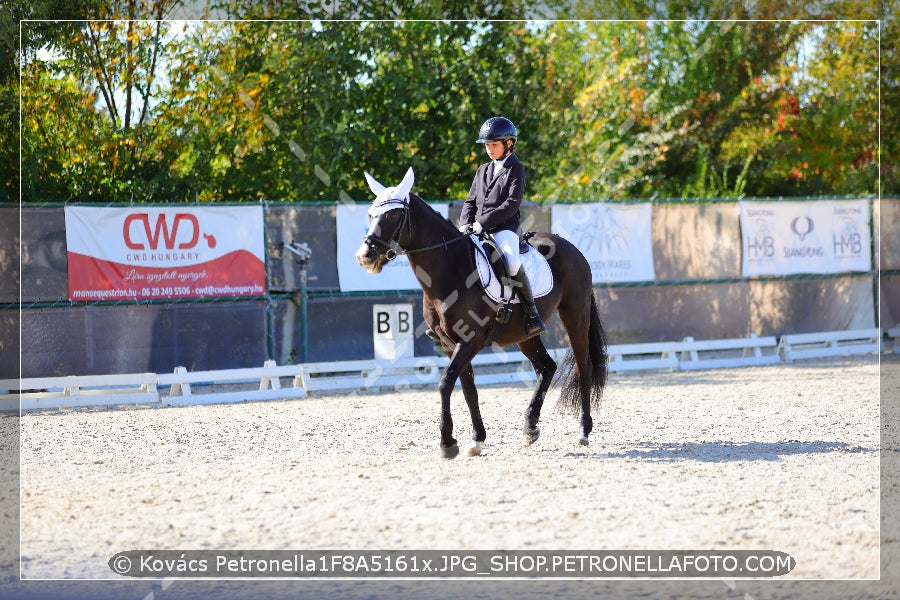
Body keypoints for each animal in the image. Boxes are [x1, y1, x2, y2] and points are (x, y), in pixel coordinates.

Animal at [356, 166, 608, 458]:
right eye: (371, 214)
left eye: (393, 214)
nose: (365, 256)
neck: (450, 269)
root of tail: (573, 250)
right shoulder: (449, 342)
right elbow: (468, 388)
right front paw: (476, 438)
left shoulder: (470, 340)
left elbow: (445, 383)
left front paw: (447, 443)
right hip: (525, 334)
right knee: (547, 367)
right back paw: (530, 427)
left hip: (575, 317)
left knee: (582, 367)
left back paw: (583, 431)